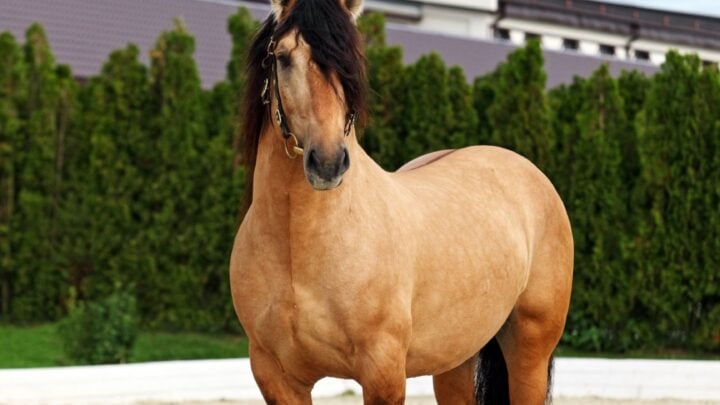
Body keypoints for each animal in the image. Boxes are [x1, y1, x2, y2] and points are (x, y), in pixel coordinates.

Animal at [229, 0, 574, 403]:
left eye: (351, 58)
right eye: (283, 58)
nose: (328, 162)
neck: (297, 246)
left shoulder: (383, 374)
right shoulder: (276, 377)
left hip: (528, 350)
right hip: (455, 357)